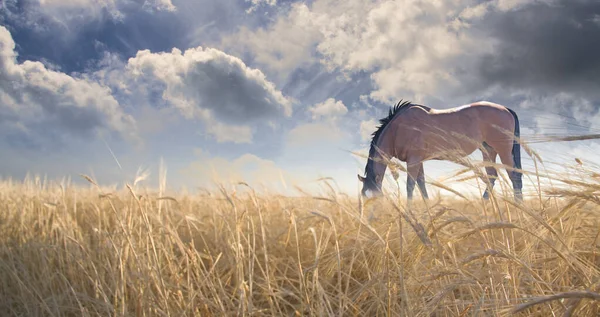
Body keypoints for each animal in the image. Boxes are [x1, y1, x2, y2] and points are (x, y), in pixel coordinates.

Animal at [358, 100, 524, 201]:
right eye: (364, 196)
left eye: (375, 198)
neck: (398, 128)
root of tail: (506, 109)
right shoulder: (418, 160)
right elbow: (421, 184)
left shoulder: (413, 160)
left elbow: (410, 185)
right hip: (488, 150)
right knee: (492, 176)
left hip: (502, 150)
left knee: (514, 176)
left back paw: (518, 206)